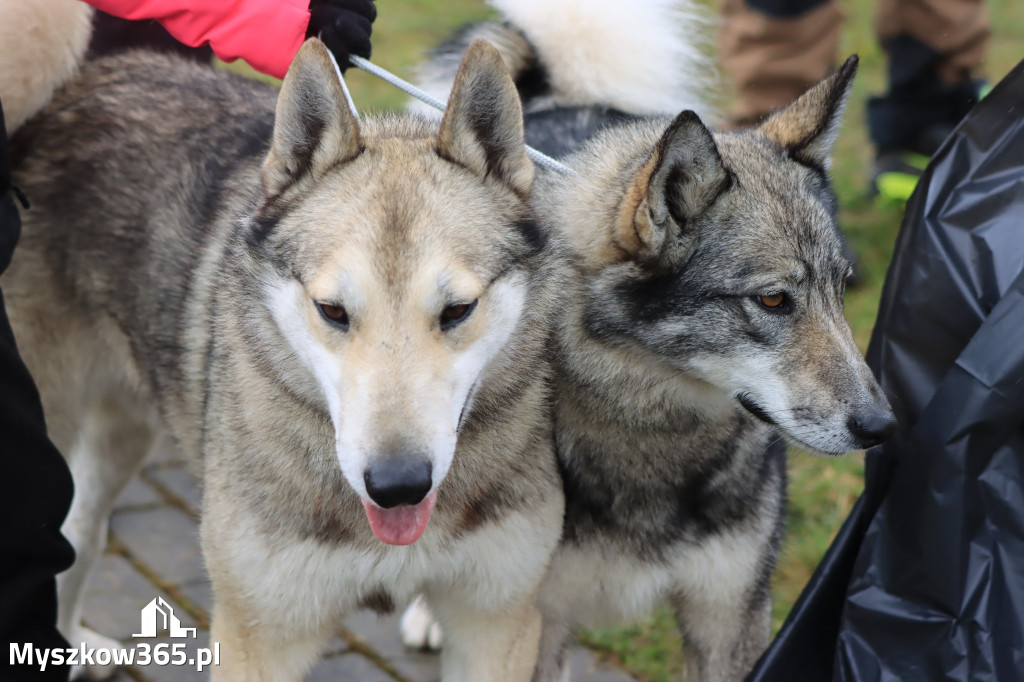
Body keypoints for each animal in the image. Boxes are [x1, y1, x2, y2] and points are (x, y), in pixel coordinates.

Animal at [4, 38, 565, 679]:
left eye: (457, 310)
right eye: (332, 310)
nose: (398, 486)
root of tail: (87, 76)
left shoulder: (497, 624)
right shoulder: (260, 633)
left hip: (124, 429)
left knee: (82, 529)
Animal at [399, 2, 897, 675]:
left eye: (842, 290)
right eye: (772, 300)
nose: (882, 427)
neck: (656, 436)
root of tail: (555, 94)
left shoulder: (730, 619)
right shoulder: (534, 624)